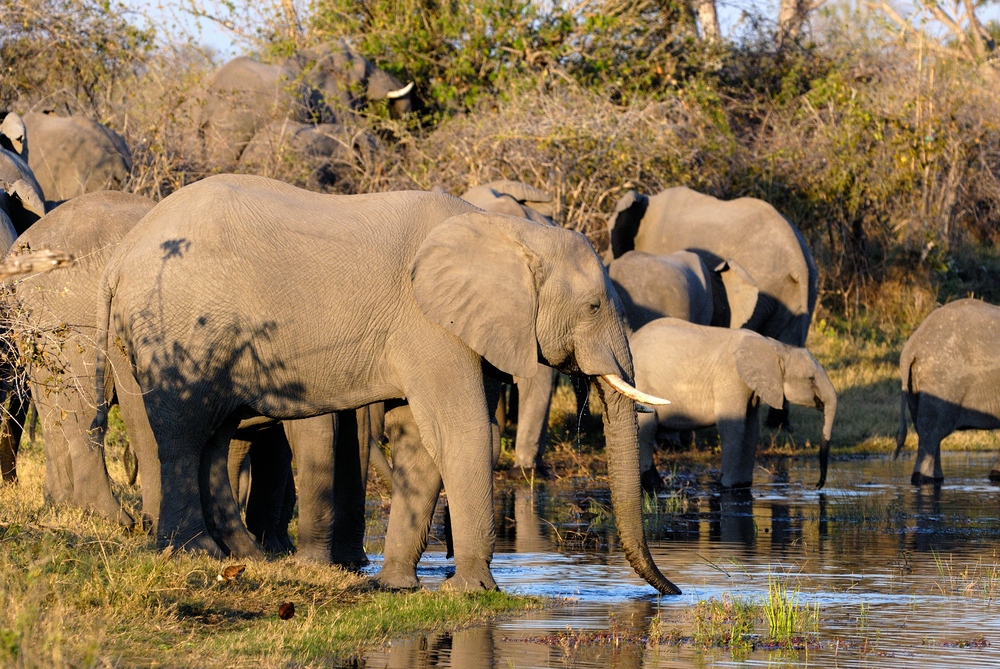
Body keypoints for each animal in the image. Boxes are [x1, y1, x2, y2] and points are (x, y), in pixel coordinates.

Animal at [92, 174, 680, 596]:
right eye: (594, 306)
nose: (671, 592)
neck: (504, 231)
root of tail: (118, 258)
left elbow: (419, 442)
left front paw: (396, 586)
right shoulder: (428, 325)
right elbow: (459, 431)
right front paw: (474, 591)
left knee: (210, 436)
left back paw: (240, 557)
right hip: (174, 325)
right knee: (181, 434)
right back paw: (197, 554)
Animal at [632, 318, 836, 490]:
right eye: (811, 379)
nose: (817, 486)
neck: (776, 348)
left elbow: (752, 429)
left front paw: (743, 485)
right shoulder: (730, 378)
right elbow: (733, 427)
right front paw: (727, 486)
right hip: (641, 383)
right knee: (647, 429)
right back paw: (655, 485)